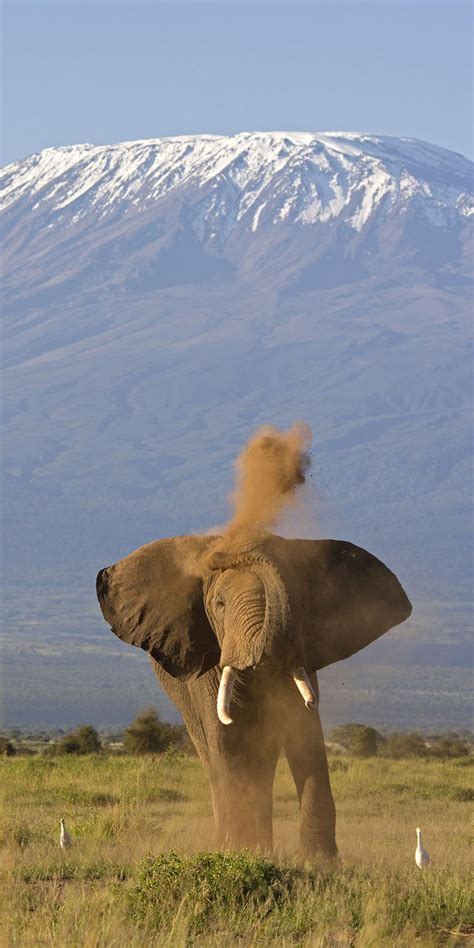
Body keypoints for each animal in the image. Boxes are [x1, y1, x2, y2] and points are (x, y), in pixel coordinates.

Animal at [97, 528, 412, 856]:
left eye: (300, 603)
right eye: (220, 604)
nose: (226, 554)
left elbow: (305, 733)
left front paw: (318, 862)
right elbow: (227, 737)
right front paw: (240, 853)